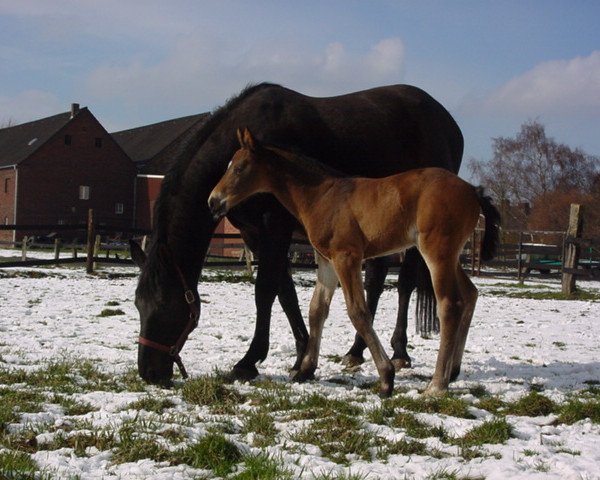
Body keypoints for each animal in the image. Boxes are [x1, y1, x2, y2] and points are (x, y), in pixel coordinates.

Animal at [209, 128, 500, 398]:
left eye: (240, 168)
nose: (213, 201)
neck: (322, 195)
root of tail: (473, 191)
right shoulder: (327, 261)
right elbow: (317, 310)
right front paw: (305, 370)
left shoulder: (346, 257)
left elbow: (358, 312)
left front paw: (386, 378)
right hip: (450, 255)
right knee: (470, 294)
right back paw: (453, 371)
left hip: (437, 252)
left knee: (450, 304)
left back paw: (437, 385)